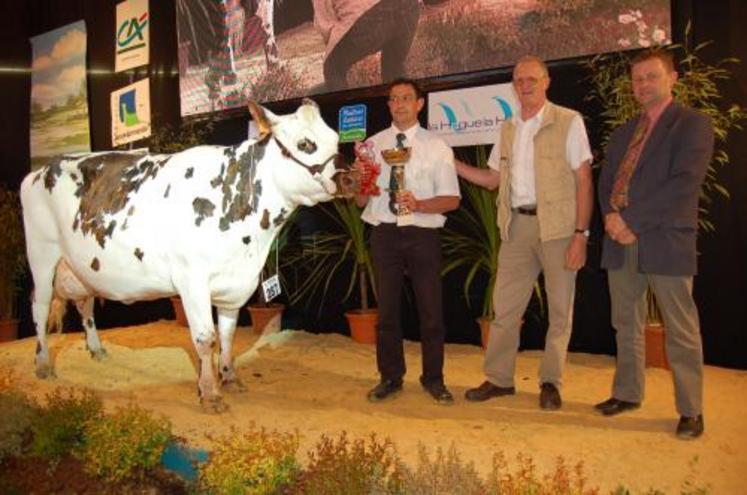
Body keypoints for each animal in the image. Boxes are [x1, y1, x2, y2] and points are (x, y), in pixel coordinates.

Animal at [19, 99, 354, 412]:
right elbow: (206, 338)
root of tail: (38, 171)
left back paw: (96, 350)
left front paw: (229, 377)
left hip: (81, 268)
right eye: (305, 143)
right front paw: (210, 394)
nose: (348, 177)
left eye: (336, 139)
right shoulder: (192, 279)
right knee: (40, 306)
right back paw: (42, 364)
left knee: (85, 305)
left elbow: (228, 335)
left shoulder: (234, 283)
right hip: (42, 256)